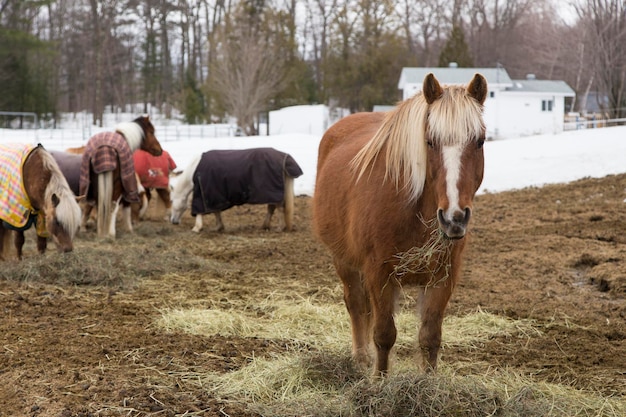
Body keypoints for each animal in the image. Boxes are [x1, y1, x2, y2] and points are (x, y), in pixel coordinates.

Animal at [168, 147, 300, 232]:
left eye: (171, 201)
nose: (173, 221)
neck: (195, 171)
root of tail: (284, 158)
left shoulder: (203, 193)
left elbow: (201, 211)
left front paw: (197, 227)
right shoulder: (214, 195)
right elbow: (216, 211)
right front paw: (218, 227)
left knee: (279, 208)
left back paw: (280, 227)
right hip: (271, 194)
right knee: (272, 208)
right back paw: (265, 226)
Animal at [312, 72, 488, 374]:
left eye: (480, 141)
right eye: (429, 141)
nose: (454, 217)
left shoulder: (443, 278)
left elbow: (430, 337)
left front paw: (428, 382)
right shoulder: (379, 273)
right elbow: (384, 334)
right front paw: (379, 380)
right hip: (343, 261)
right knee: (356, 305)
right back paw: (361, 359)